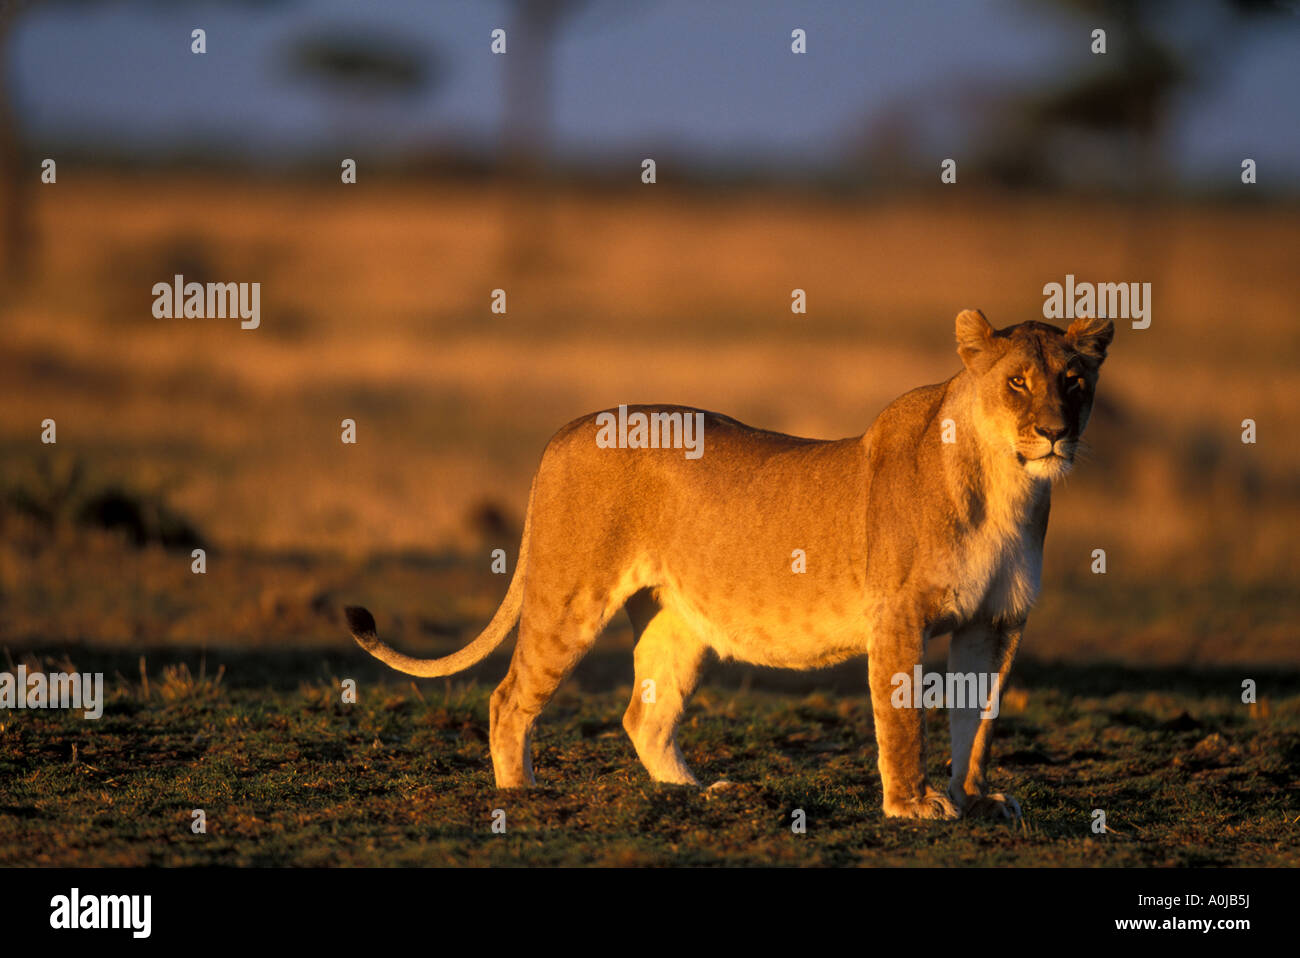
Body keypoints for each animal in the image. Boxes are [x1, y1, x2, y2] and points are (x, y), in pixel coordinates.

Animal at [345, 309, 1113, 820]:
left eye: (1074, 381)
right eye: (1017, 382)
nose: (1054, 432)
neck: (1008, 486)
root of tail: (564, 430)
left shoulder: (997, 622)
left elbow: (976, 719)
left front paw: (977, 798)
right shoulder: (900, 615)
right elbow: (904, 721)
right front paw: (912, 805)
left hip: (678, 620)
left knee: (643, 715)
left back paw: (699, 793)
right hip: (571, 596)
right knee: (509, 697)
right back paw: (521, 794)